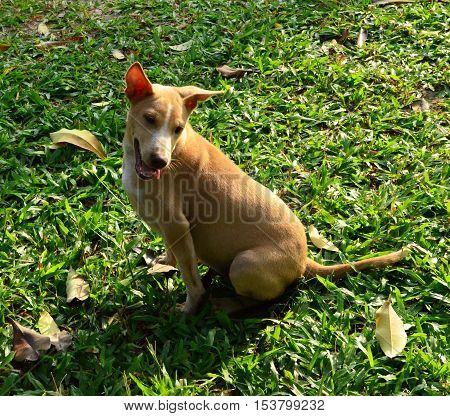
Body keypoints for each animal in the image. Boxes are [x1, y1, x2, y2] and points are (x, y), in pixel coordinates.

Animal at [121, 63, 406, 314]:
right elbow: (173, 253)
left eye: (178, 128)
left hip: (243, 264)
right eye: (149, 119)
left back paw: (226, 305)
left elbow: (192, 279)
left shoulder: (177, 225)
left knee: (260, 300)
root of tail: (303, 261)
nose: (160, 161)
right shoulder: (171, 229)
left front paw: (190, 308)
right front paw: (164, 263)